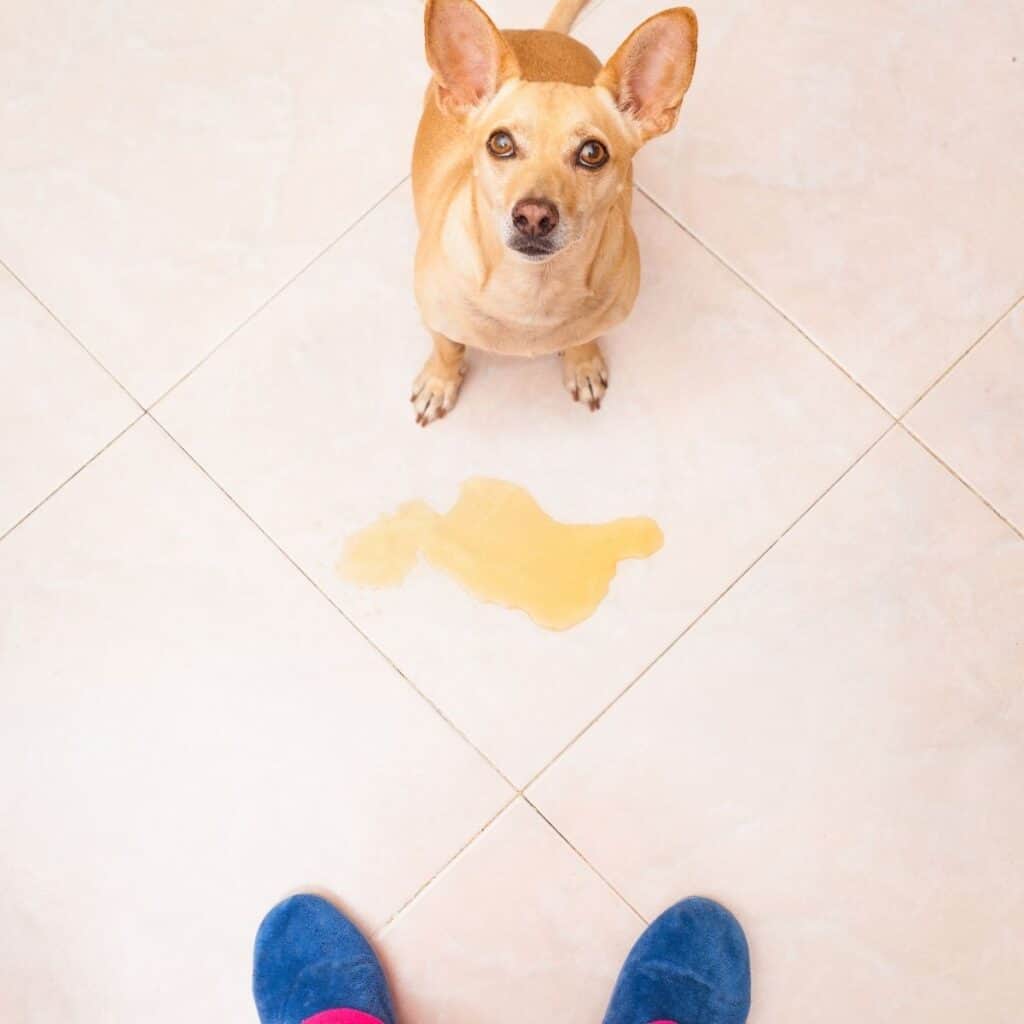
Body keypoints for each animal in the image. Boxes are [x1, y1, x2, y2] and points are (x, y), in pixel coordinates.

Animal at [407, 0, 696, 423]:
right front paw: (439, 382)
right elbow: (447, 348)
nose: (533, 216)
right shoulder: (436, 319)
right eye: (500, 143)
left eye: (593, 152)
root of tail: (542, 32)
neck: (534, 289)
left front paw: (582, 363)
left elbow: (585, 337)